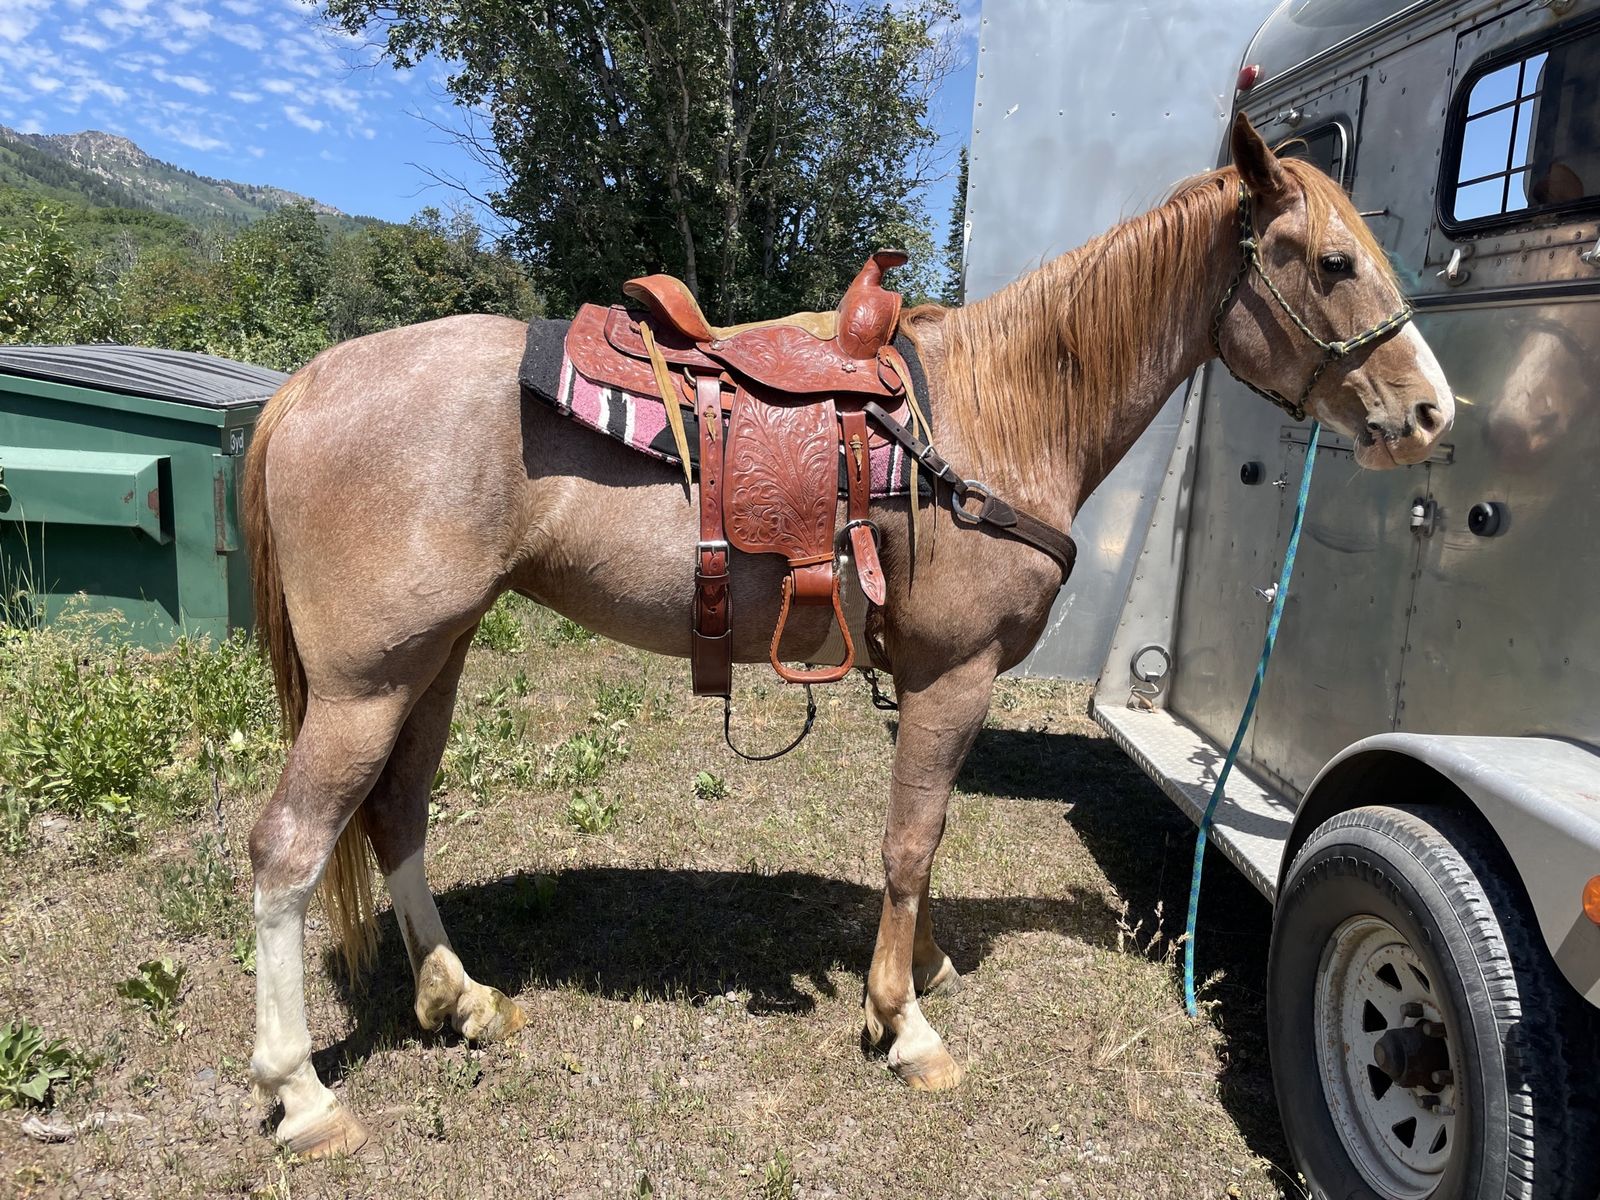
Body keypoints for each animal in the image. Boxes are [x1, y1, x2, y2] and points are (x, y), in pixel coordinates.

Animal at [240, 115, 1454, 1157]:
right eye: (1332, 262)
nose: (1433, 414)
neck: (997, 414)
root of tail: (308, 383)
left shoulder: (927, 681)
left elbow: (924, 834)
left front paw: (922, 965)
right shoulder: (957, 675)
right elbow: (911, 841)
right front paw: (902, 1023)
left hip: (430, 662)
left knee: (395, 817)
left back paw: (460, 1000)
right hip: (364, 684)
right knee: (287, 851)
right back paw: (301, 1093)